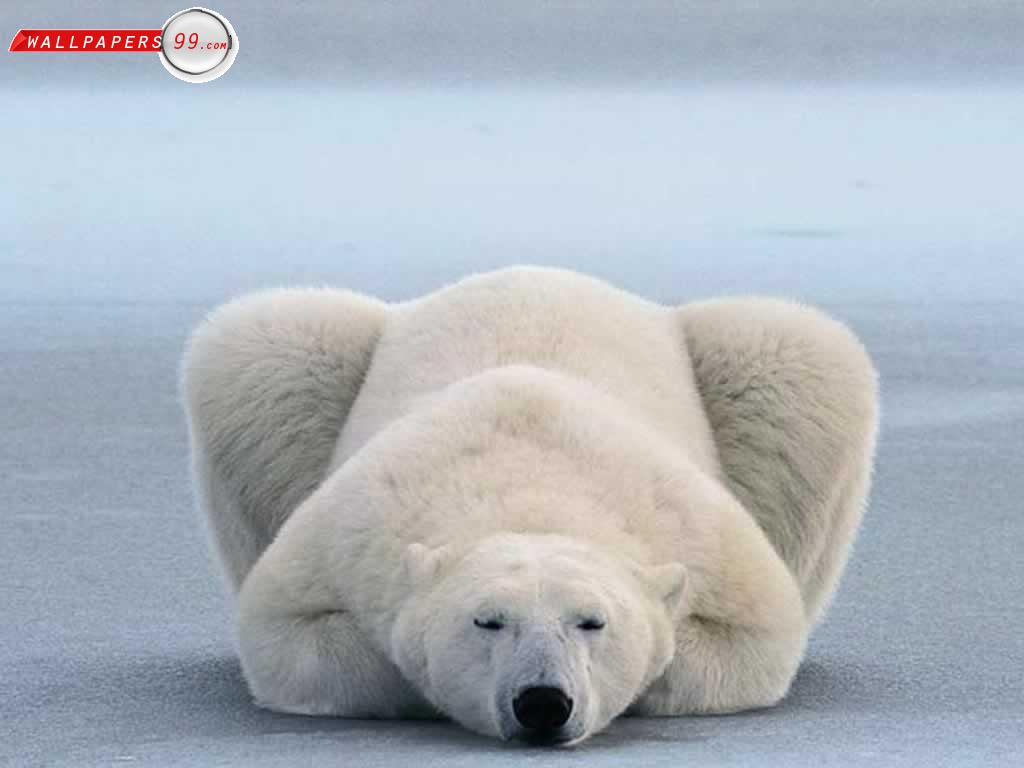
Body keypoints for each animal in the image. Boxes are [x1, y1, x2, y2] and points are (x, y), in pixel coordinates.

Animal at [181, 266, 878, 745]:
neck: (533, 488)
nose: (543, 702)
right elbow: (287, 633)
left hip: (761, 368)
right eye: (488, 620)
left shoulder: (699, 535)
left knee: (796, 353)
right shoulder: (354, 530)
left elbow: (753, 637)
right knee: (264, 345)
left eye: (592, 621)